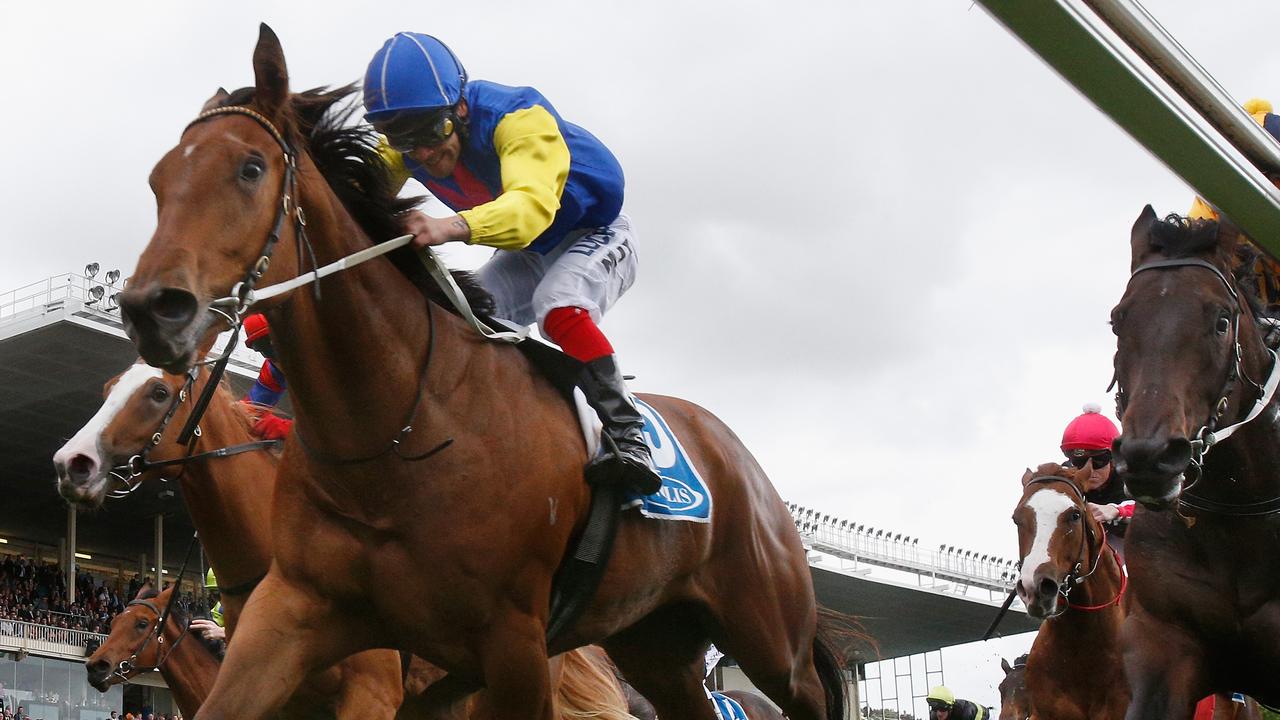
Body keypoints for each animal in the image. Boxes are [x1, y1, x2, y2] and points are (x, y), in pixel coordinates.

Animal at [115, 25, 844, 717]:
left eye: (250, 167)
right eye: (156, 182)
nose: (153, 309)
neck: (400, 430)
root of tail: (741, 460)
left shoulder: (511, 645)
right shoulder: (296, 613)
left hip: (770, 639)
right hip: (656, 644)